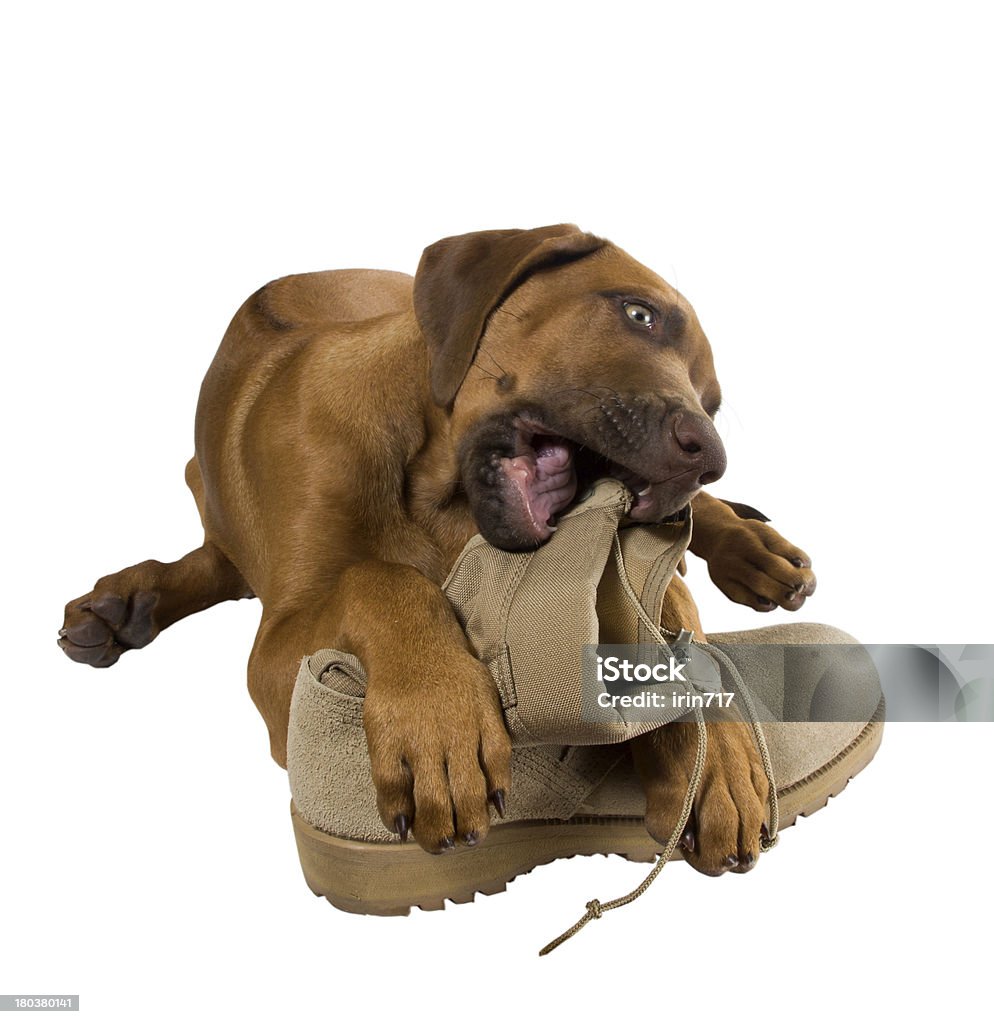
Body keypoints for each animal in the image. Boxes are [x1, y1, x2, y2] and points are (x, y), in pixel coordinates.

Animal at [58, 224, 814, 872]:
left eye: (713, 404)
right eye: (639, 315)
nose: (708, 459)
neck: (435, 488)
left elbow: (675, 609)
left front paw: (717, 755)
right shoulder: (275, 655)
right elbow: (378, 577)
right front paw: (438, 719)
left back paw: (755, 549)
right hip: (202, 485)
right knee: (220, 550)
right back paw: (126, 604)